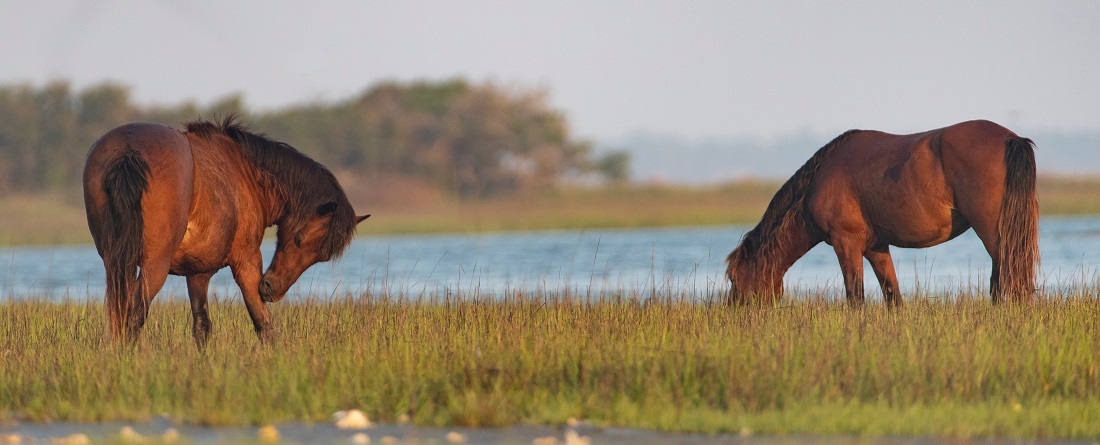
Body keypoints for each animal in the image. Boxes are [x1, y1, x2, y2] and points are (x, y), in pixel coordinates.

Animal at [81, 115, 371, 345]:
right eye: (299, 239)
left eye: (321, 256)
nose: (271, 289)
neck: (245, 171)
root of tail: (128, 150)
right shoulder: (246, 262)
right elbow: (263, 324)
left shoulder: (197, 273)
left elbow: (201, 327)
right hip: (154, 267)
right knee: (133, 317)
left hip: (117, 263)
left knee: (120, 317)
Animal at [726, 119, 1034, 303]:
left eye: (735, 280)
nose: (735, 314)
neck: (821, 178)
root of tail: (1011, 138)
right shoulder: (876, 247)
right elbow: (892, 296)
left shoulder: (846, 243)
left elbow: (855, 296)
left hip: (994, 234)